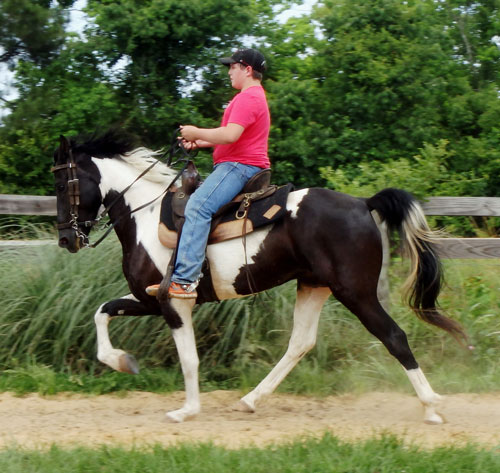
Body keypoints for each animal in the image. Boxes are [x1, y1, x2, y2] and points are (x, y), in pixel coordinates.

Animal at [51, 130, 464, 424]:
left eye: (62, 184)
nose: (67, 239)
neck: (146, 217)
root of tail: (364, 203)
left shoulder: (172, 303)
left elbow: (189, 359)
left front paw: (186, 411)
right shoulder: (148, 298)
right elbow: (102, 312)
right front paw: (123, 362)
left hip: (356, 293)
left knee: (394, 337)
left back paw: (431, 406)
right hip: (314, 286)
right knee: (300, 343)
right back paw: (250, 400)